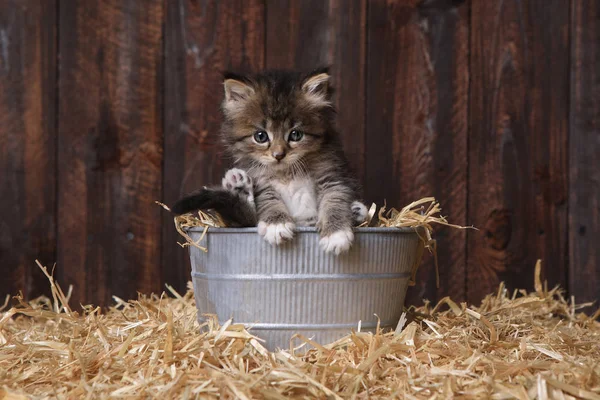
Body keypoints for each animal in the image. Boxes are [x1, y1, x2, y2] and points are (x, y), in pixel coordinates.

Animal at [172, 65, 366, 253]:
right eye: (261, 136)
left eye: (295, 135)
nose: (278, 155)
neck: (287, 173)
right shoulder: (260, 179)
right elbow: (267, 198)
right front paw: (277, 225)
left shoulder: (332, 175)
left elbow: (335, 199)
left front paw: (336, 235)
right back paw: (238, 186)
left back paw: (357, 211)